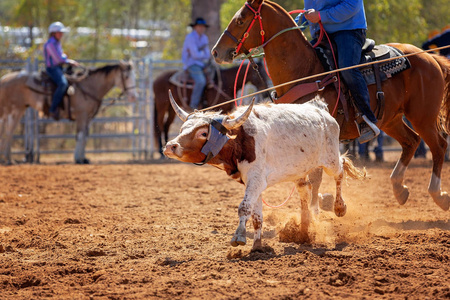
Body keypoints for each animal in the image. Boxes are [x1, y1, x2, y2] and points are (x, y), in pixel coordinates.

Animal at [163, 91, 364, 251]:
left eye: (203, 133)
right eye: (182, 129)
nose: (170, 146)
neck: (241, 138)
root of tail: (320, 109)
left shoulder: (256, 180)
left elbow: (244, 207)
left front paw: (239, 237)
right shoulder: (255, 184)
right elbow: (256, 216)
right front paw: (257, 247)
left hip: (330, 159)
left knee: (340, 170)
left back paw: (339, 207)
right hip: (301, 171)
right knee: (305, 191)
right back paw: (304, 230)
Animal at [212, 0, 450, 211]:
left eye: (241, 20)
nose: (216, 52)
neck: (306, 71)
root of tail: (429, 57)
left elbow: (315, 177)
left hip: (423, 117)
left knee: (438, 146)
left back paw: (437, 195)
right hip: (391, 120)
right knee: (411, 141)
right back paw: (399, 189)